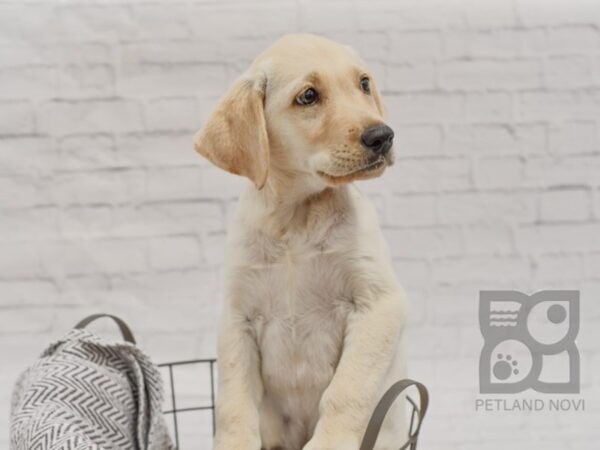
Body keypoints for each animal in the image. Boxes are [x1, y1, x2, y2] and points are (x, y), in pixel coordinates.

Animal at [195, 33, 410, 448]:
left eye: (363, 84)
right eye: (308, 96)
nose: (383, 136)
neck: (297, 220)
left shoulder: (379, 304)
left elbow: (347, 390)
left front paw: (330, 443)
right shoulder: (236, 319)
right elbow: (233, 401)